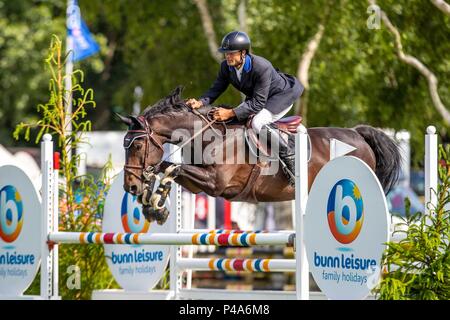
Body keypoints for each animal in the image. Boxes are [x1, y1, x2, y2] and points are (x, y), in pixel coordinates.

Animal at [117, 86, 400, 224]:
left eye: (137, 147)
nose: (130, 186)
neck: (209, 136)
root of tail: (358, 134)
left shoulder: (215, 184)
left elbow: (171, 167)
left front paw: (153, 203)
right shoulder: (198, 184)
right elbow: (165, 167)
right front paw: (152, 204)